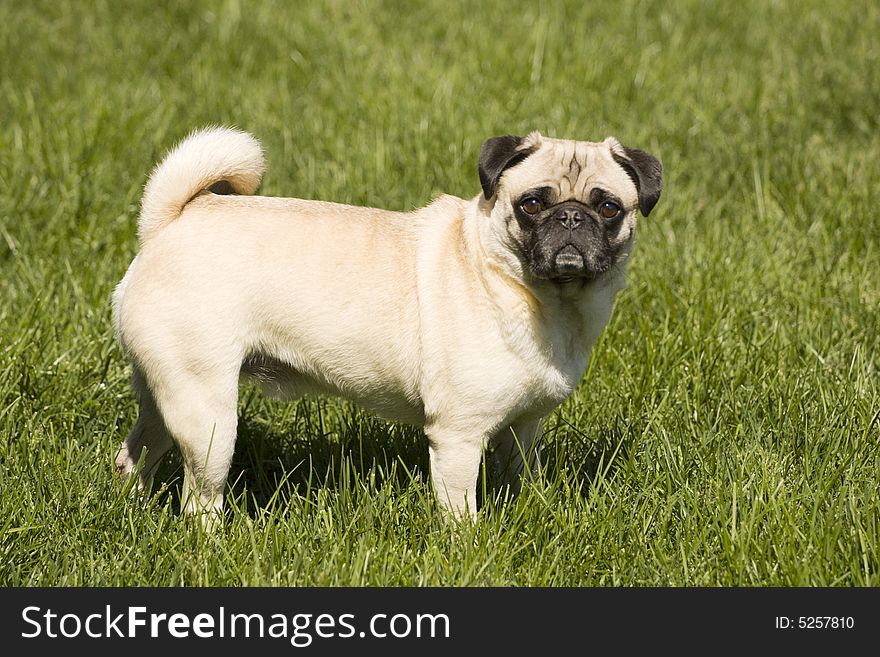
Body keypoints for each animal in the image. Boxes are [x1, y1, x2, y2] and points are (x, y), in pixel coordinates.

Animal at [111, 125, 660, 520]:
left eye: (608, 207)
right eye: (532, 204)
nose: (571, 218)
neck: (539, 298)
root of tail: (170, 222)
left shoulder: (522, 428)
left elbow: (518, 479)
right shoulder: (458, 436)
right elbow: (461, 512)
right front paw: (468, 549)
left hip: (167, 396)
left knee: (136, 453)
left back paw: (127, 504)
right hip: (208, 416)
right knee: (198, 499)